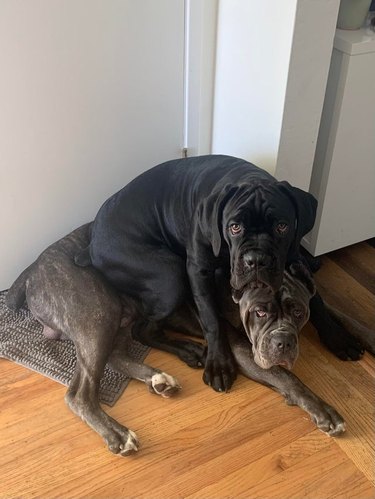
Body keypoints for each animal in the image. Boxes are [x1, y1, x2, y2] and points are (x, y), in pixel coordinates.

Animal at [6, 225, 374, 456]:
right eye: (259, 312)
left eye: (298, 312)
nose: (283, 342)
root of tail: (33, 268)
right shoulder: (243, 350)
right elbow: (289, 378)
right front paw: (324, 411)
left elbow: (341, 313)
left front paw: (364, 332)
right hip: (99, 313)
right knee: (80, 391)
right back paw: (118, 433)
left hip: (118, 318)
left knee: (122, 352)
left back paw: (163, 375)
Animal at [75, 154, 318, 392]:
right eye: (234, 227)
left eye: (282, 226)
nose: (256, 260)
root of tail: (91, 244)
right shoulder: (197, 272)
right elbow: (212, 320)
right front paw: (220, 365)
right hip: (171, 278)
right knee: (142, 329)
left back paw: (189, 351)